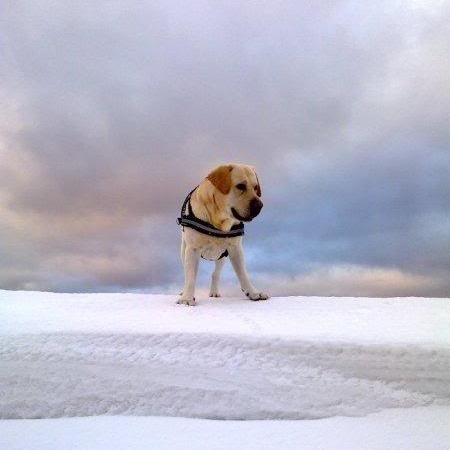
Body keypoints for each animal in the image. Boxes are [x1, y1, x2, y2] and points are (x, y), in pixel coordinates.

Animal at [177, 163, 268, 306]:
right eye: (240, 186)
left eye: (255, 188)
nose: (260, 205)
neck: (219, 219)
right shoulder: (192, 249)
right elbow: (190, 277)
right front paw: (187, 298)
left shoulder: (235, 249)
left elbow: (243, 274)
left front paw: (253, 292)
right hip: (183, 249)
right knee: (187, 273)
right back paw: (184, 291)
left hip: (222, 256)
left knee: (215, 274)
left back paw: (214, 291)